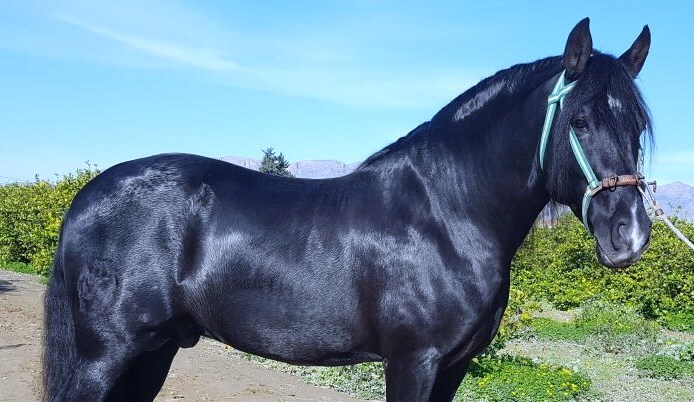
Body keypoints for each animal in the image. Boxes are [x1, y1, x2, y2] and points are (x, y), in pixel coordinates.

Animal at [43, 18, 653, 401]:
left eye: (637, 126)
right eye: (580, 121)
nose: (629, 235)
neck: (447, 215)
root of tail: (87, 197)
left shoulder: (454, 367)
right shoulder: (413, 361)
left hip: (154, 350)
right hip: (106, 354)